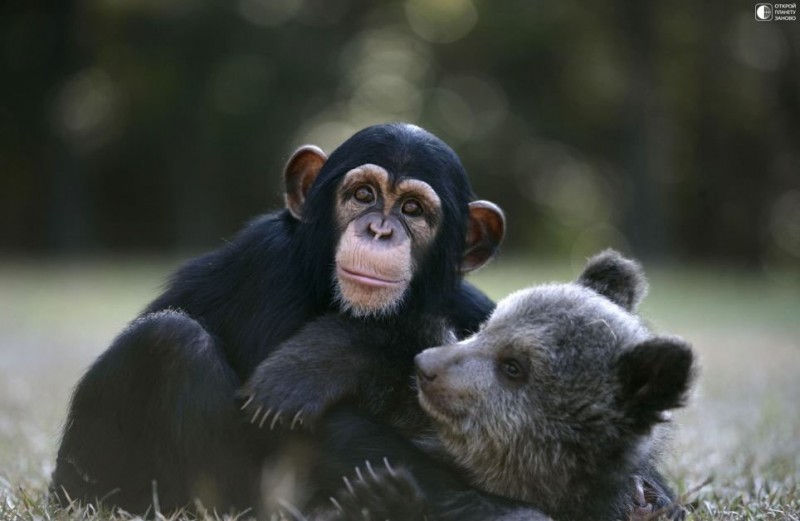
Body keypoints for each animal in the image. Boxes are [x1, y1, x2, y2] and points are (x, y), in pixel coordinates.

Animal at [51, 124, 506, 512]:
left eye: (412, 208)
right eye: (363, 195)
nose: (379, 230)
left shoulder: (473, 306)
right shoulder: (269, 265)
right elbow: (295, 428)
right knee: (170, 339)